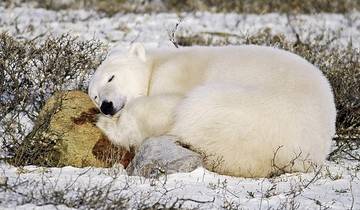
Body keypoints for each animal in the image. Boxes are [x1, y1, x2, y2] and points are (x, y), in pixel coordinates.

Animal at [88, 43, 336, 177]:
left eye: (111, 77)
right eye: (95, 95)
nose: (106, 106)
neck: (159, 62)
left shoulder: (175, 73)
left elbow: (166, 105)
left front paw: (105, 123)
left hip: (241, 112)